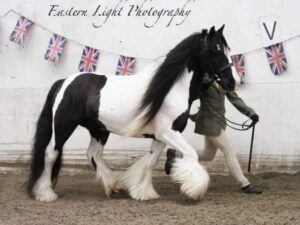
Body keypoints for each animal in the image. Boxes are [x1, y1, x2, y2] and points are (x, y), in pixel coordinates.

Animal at [27, 25, 234, 202]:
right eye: (216, 50)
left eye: (227, 50)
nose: (231, 83)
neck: (172, 90)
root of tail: (64, 82)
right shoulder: (168, 132)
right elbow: (191, 154)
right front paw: (194, 189)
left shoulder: (159, 136)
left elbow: (151, 162)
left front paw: (144, 193)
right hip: (64, 126)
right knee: (51, 154)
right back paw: (46, 194)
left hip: (99, 130)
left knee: (93, 154)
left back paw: (113, 185)